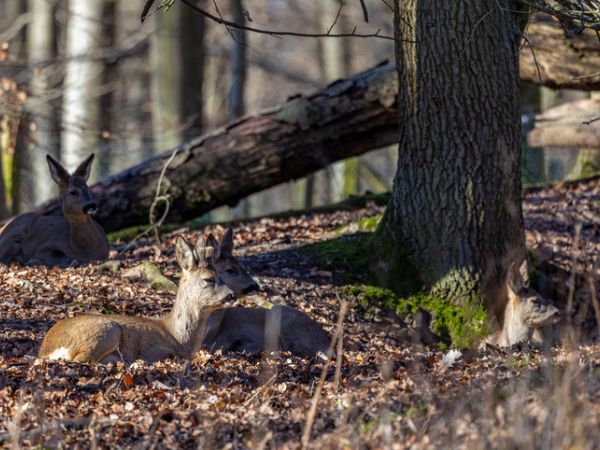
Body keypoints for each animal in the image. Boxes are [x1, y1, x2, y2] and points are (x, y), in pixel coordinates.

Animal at [38, 234, 234, 364]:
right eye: (209, 279)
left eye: (221, 275)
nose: (232, 294)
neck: (178, 338)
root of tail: (46, 349)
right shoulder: (155, 351)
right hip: (107, 330)